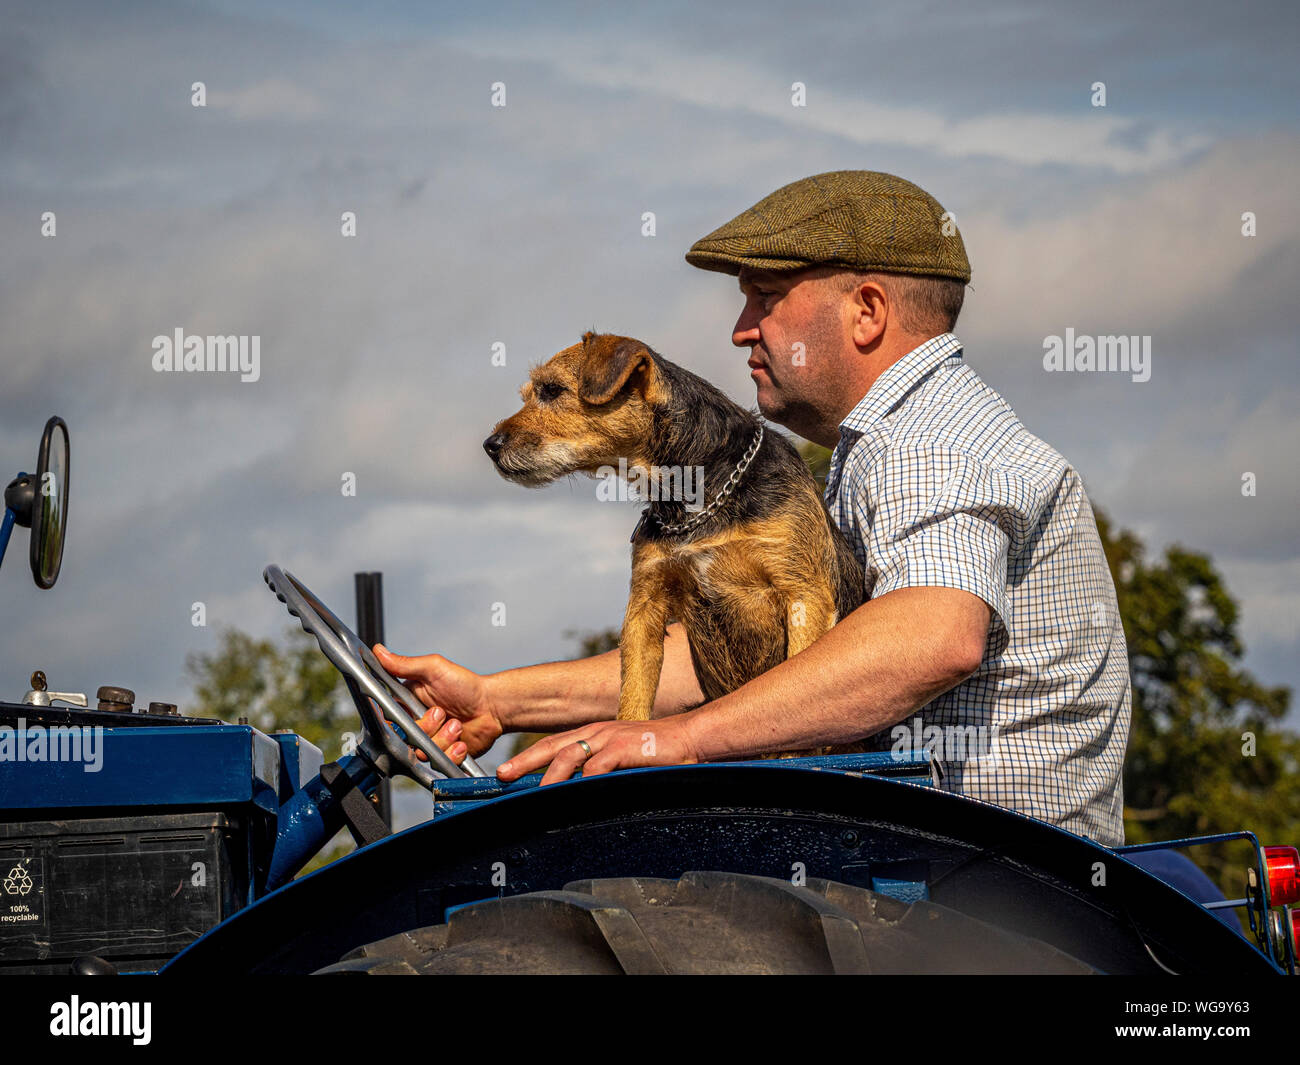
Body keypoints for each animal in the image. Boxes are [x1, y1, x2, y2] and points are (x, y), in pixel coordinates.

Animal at [483, 332, 868, 759]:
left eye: (552, 390)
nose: (490, 445)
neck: (696, 500)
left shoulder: (804, 593)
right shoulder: (645, 607)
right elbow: (634, 695)